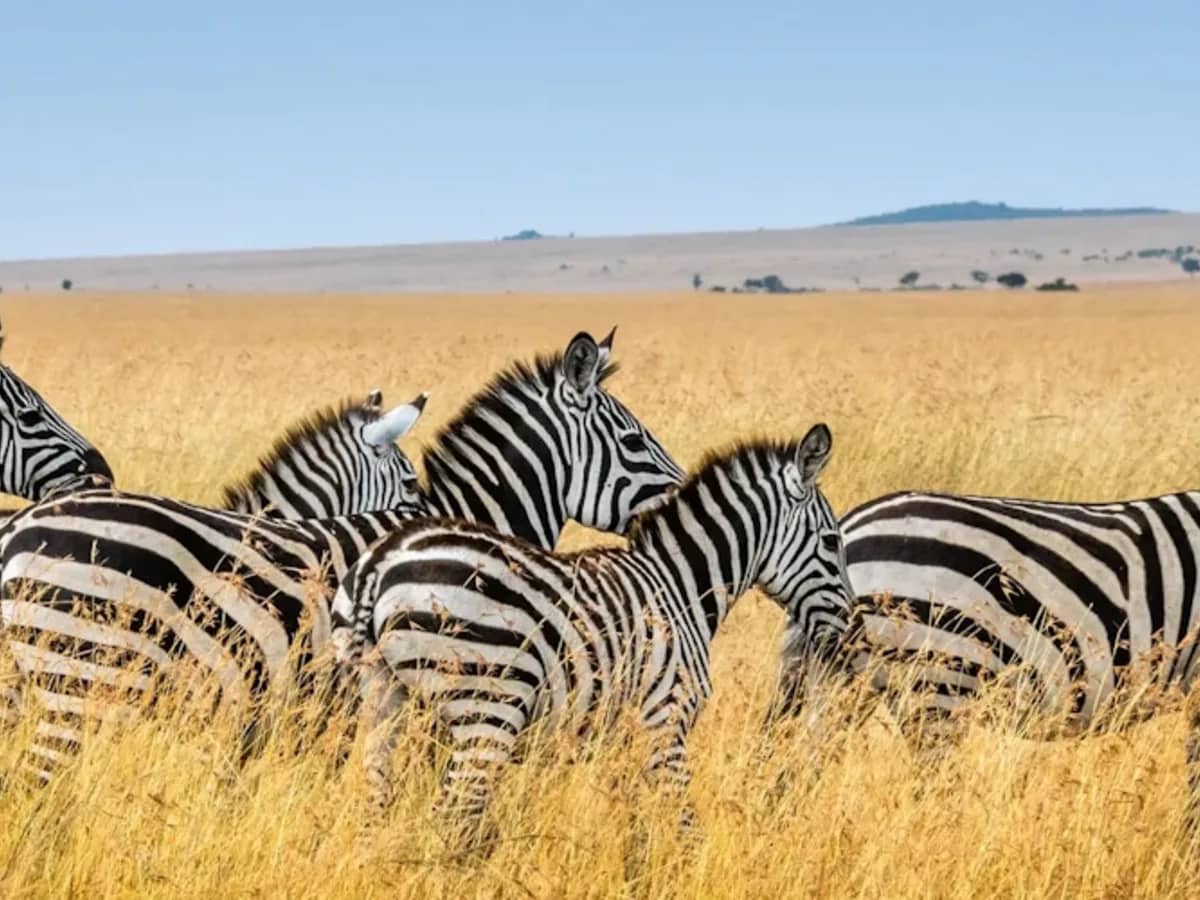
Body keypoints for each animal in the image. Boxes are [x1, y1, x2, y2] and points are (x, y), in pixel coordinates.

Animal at [330, 425, 850, 850]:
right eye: (831, 541)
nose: (847, 629)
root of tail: (381, 562)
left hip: (383, 698)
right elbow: (683, 823)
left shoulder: (623, 735)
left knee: (376, 806)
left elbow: (635, 823)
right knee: (451, 816)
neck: (680, 586)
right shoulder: (665, 720)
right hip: (487, 709)